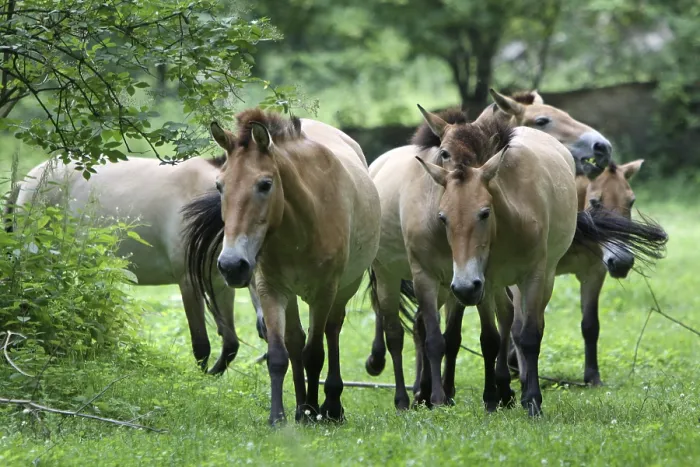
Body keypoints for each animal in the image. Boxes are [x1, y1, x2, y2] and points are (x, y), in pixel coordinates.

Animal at [5, 154, 264, 375]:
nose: (264, 328)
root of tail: (28, 180)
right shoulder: (189, 282)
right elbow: (201, 346)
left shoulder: (219, 283)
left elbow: (230, 345)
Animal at [183, 109, 381, 425]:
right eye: (219, 185)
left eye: (265, 184)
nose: (231, 265)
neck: (301, 227)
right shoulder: (271, 290)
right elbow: (279, 354)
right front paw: (280, 417)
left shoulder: (324, 293)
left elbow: (315, 353)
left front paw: (317, 409)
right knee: (296, 341)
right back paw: (302, 408)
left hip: (343, 290)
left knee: (332, 333)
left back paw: (331, 406)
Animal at [364, 88, 617, 410]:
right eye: (542, 119)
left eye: (482, 148)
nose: (601, 147)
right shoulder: (431, 275)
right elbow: (440, 338)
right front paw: (443, 397)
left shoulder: (470, 280)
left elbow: (479, 333)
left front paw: (503, 392)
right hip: (389, 275)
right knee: (396, 332)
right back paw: (403, 394)